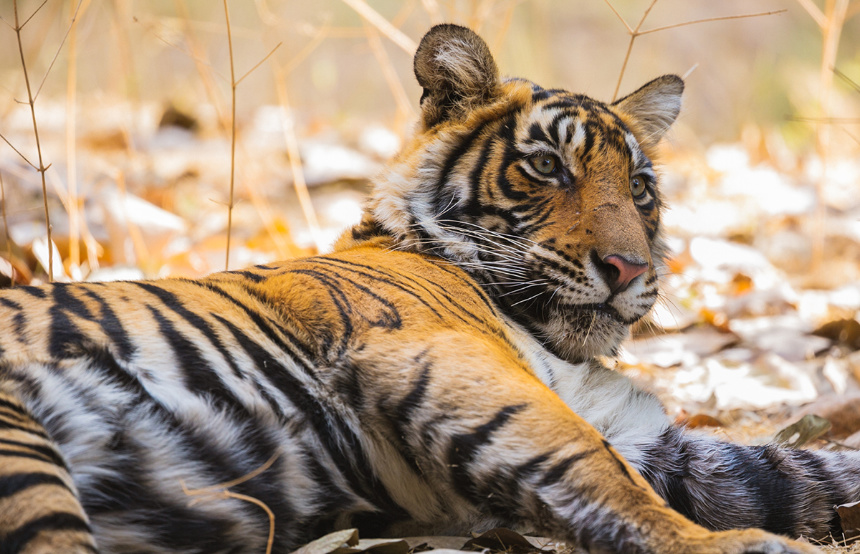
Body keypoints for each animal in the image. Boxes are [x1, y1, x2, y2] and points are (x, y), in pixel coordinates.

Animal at [0, 23, 854, 554]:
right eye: (547, 166)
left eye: (640, 188)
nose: (631, 270)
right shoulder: (443, 359)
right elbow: (595, 469)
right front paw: (738, 545)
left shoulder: (645, 433)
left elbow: (798, 472)